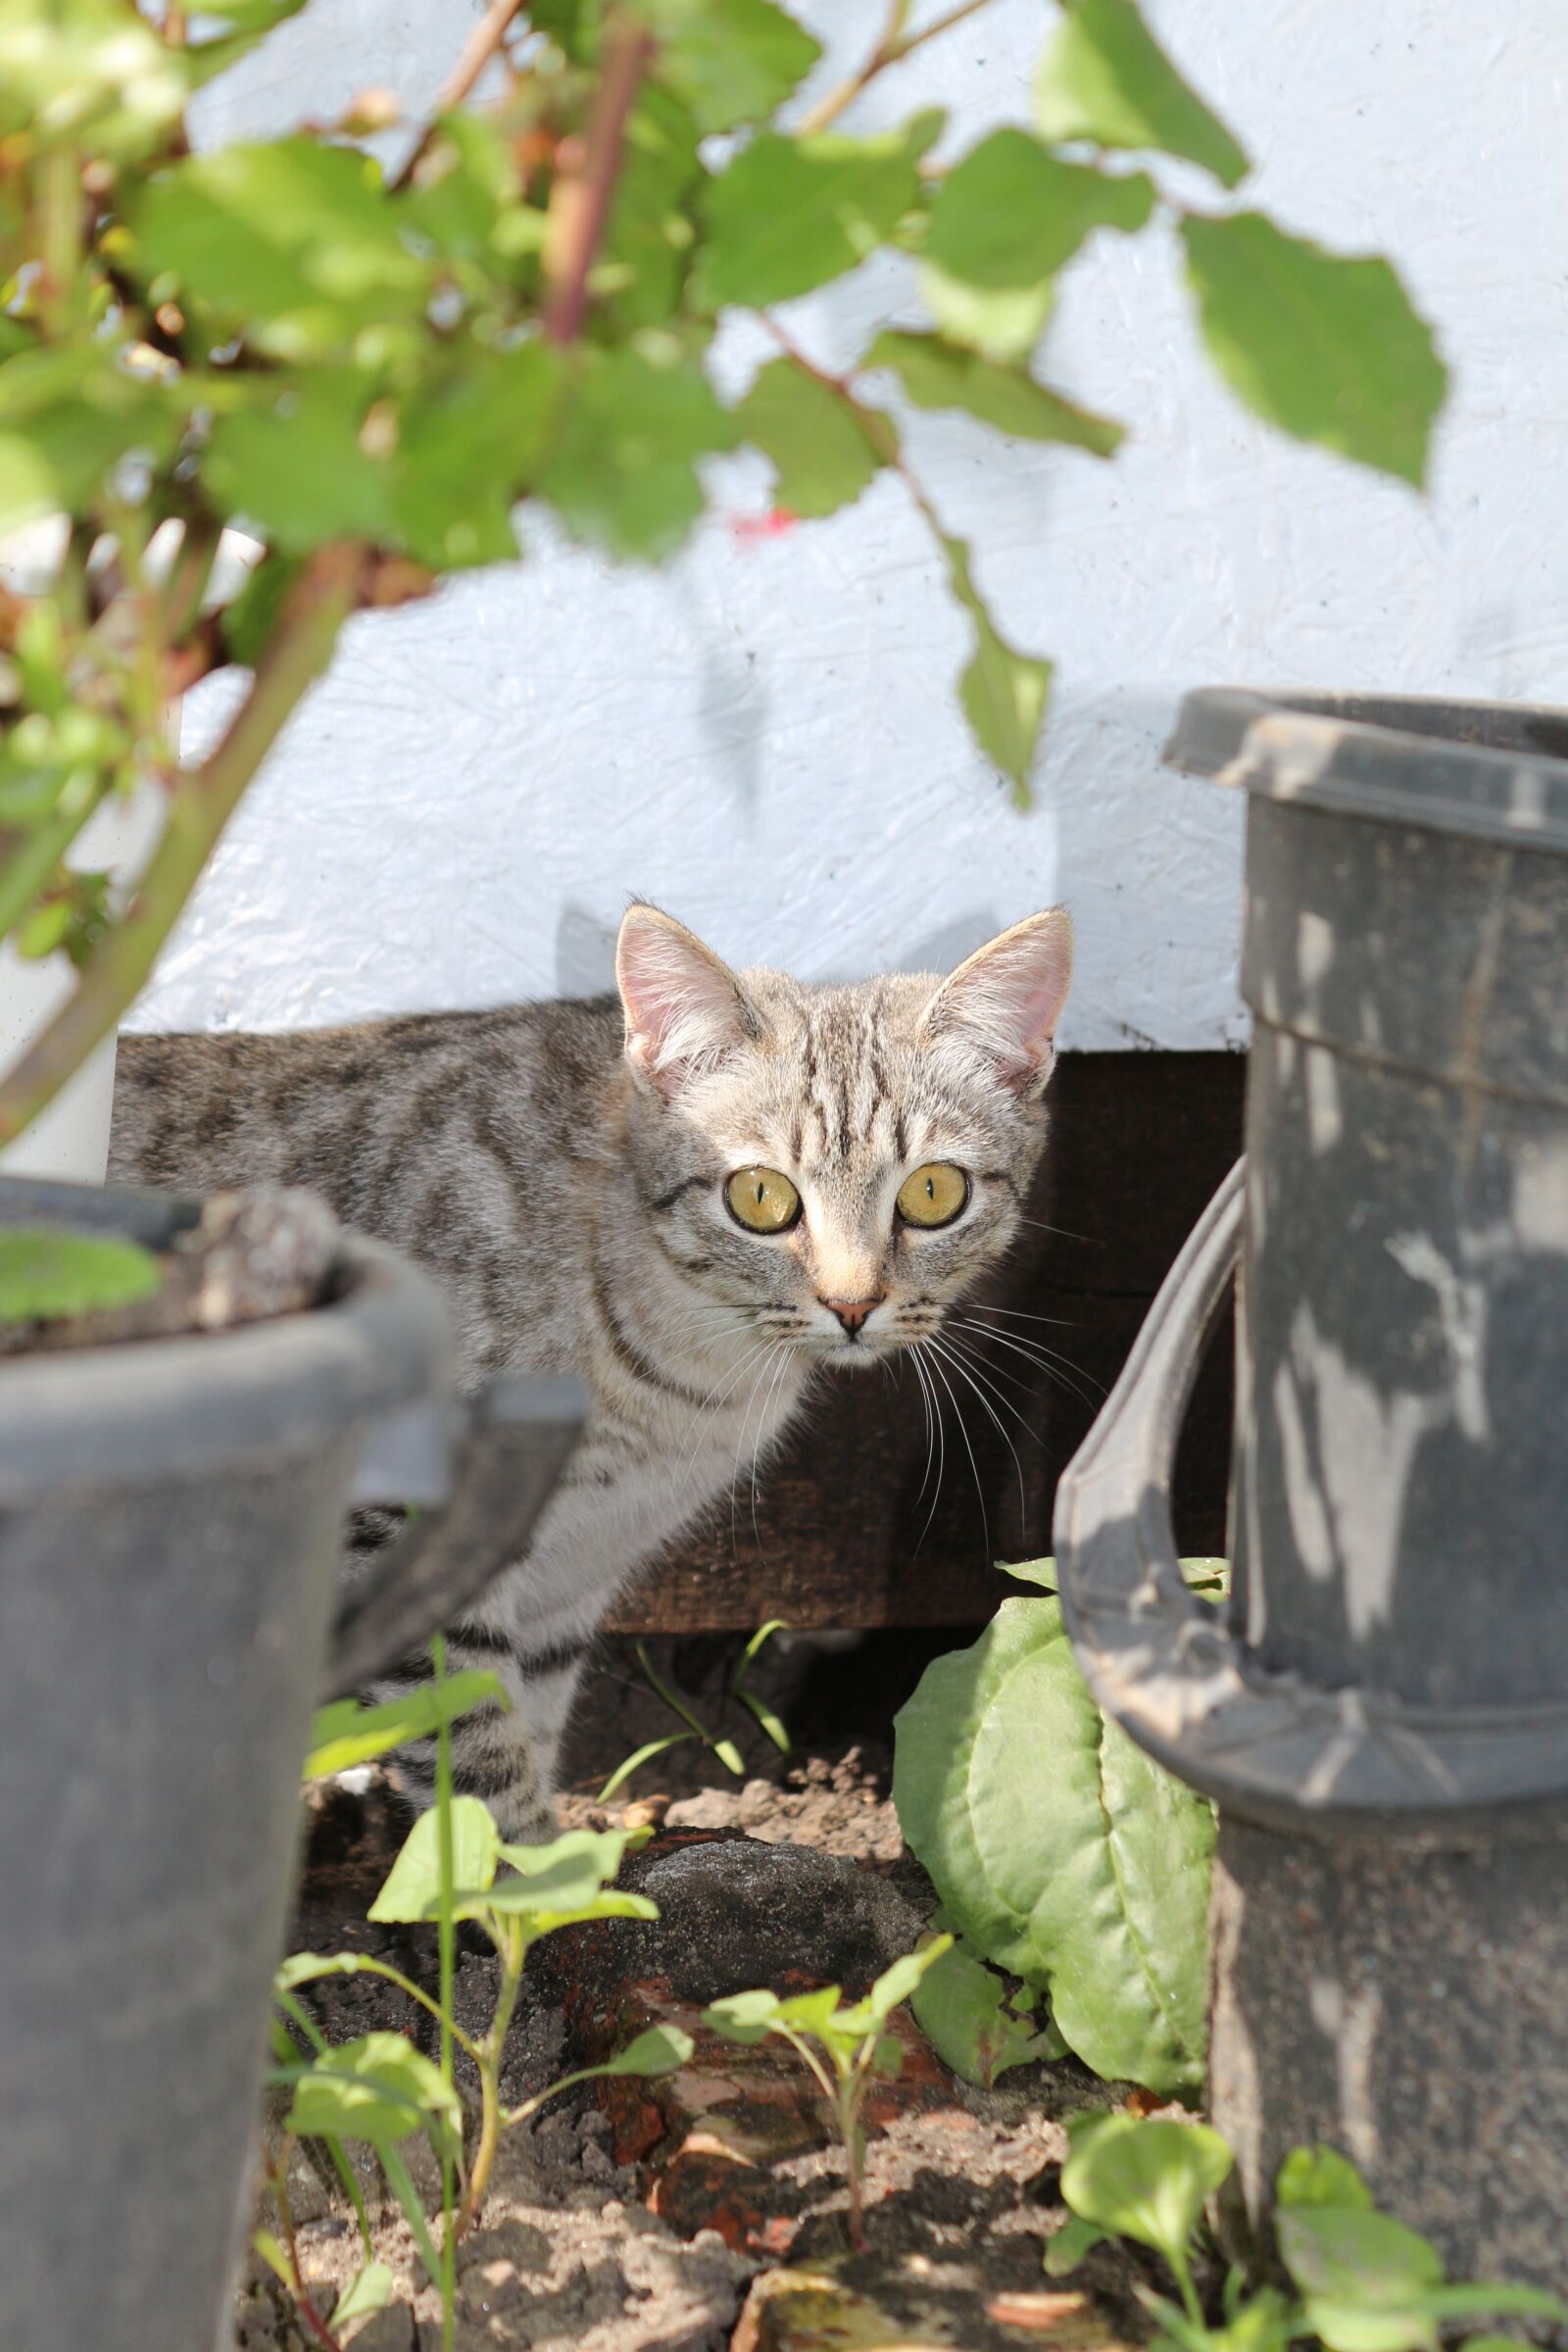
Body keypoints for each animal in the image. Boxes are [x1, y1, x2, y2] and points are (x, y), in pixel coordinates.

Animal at [107, 898, 1067, 1835]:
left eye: (934, 1192)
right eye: (760, 1197)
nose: (854, 1304)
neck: (686, 1380)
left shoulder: (575, 1572)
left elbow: (529, 1717)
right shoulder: (407, 1534)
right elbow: (477, 1760)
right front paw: (527, 1876)